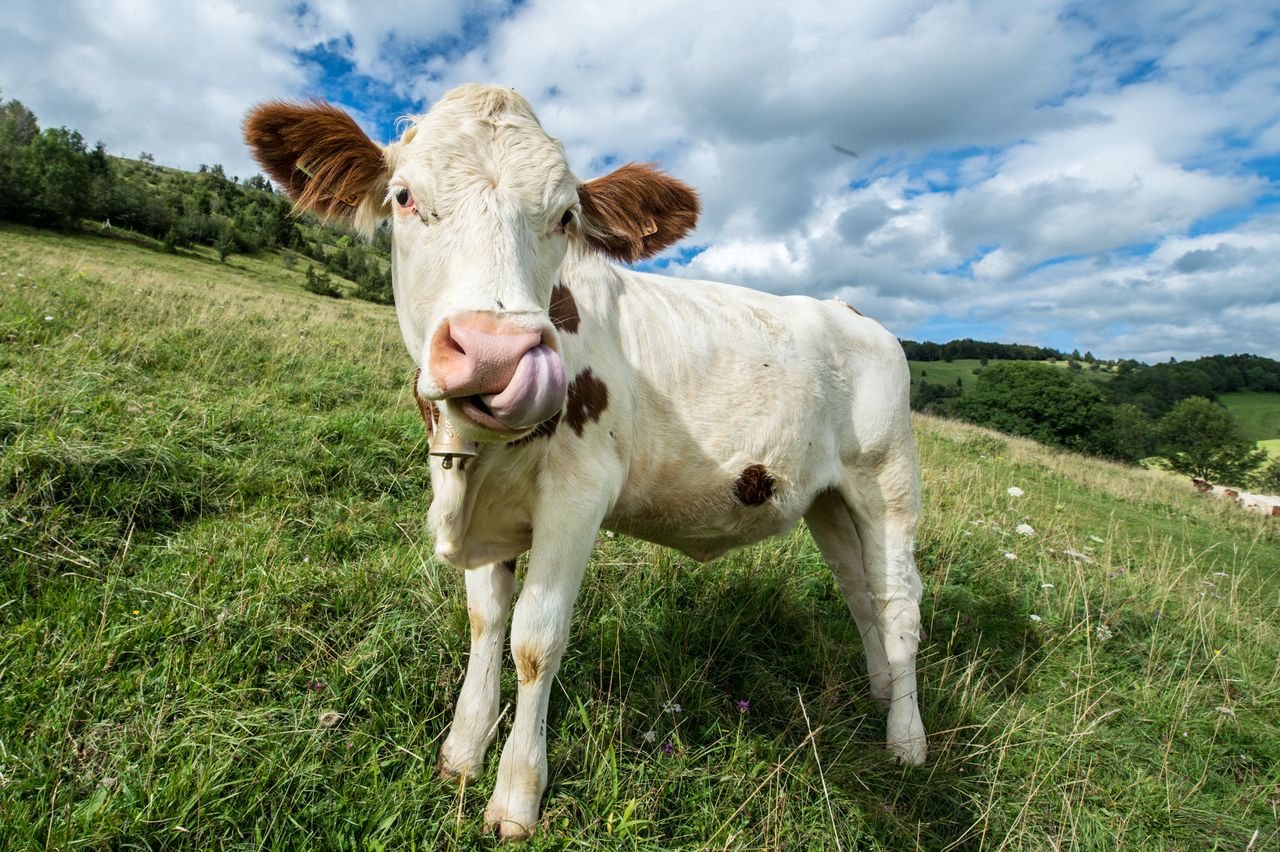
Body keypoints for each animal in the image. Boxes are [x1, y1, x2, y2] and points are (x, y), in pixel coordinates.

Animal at [244, 84, 926, 840]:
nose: (496, 354)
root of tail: (851, 311)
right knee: (859, 592)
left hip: (887, 478)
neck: (472, 476)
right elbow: (486, 619)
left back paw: (907, 741)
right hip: (828, 499)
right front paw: (462, 752)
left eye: (566, 216)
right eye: (404, 196)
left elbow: (534, 640)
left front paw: (515, 797)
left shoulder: (578, 494)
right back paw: (880, 691)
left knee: (899, 604)